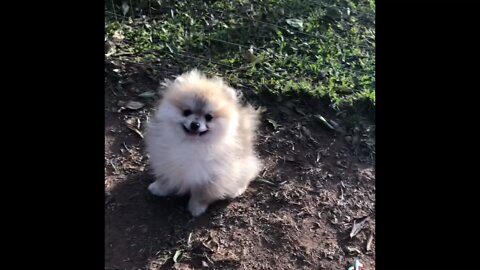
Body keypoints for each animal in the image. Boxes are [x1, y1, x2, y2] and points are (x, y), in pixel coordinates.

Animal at [144, 70, 262, 217]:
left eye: (209, 117)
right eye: (186, 112)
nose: (195, 124)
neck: (191, 144)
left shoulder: (210, 176)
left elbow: (201, 194)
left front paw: (196, 208)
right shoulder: (167, 162)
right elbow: (166, 178)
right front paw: (159, 188)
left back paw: (237, 189)